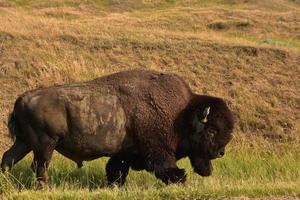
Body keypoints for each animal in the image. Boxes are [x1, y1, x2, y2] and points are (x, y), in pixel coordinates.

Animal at [0, 69, 234, 187]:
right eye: (212, 130)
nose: (221, 152)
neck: (182, 113)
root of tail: (22, 99)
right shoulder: (158, 151)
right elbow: (167, 168)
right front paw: (180, 180)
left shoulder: (125, 153)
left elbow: (116, 169)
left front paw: (115, 186)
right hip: (45, 144)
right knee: (39, 166)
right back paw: (44, 187)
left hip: (25, 142)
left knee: (9, 158)